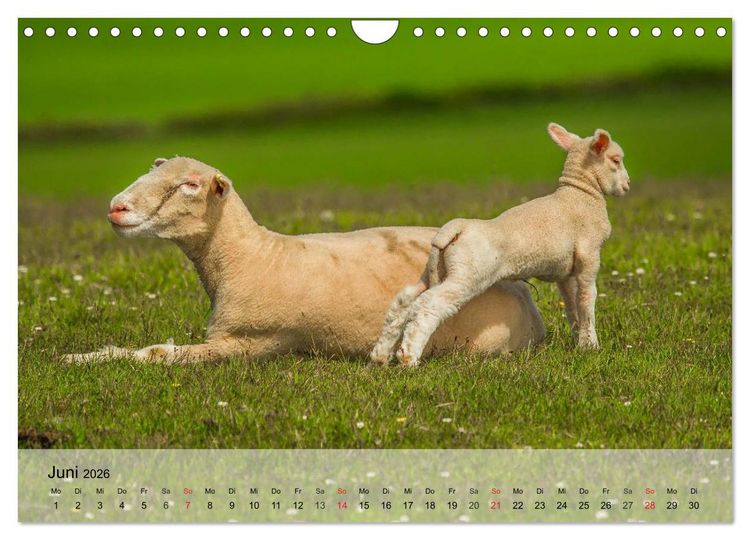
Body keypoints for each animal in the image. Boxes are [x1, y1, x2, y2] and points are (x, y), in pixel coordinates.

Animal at [62, 156, 545, 364]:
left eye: (190, 185)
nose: (117, 207)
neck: (251, 256)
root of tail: (529, 302)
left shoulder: (252, 342)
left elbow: (159, 354)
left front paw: (86, 359)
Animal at [371, 123, 630, 367]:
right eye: (616, 160)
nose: (627, 185)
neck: (580, 194)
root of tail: (454, 229)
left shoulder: (565, 272)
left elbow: (572, 305)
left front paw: (579, 342)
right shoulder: (589, 256)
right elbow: (586, 300)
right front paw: (592, 347)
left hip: (436, 269)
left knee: (405, 300)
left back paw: (380, 355)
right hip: (467, 274)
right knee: (429, 304)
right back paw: (409, 358)